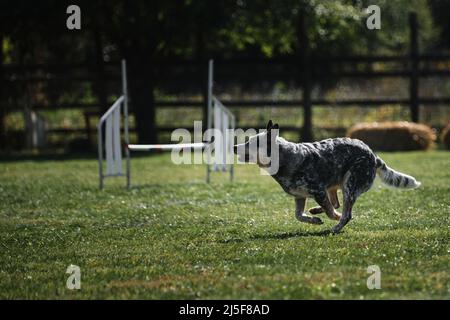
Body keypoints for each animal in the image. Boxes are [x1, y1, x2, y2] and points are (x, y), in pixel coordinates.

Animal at [236, 120, 422, 232]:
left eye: (252, 142)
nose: (234, 146)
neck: (287, 157)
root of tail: (373, 155)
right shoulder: (300, 196)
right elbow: (299, 215)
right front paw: (314, 219)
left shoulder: (318, 191)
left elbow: (332, 213)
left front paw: (333, 218)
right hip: (334, 185)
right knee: (335, 203)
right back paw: (316, 210)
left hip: (350, 186)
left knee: (346, 213)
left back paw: (336, 227)